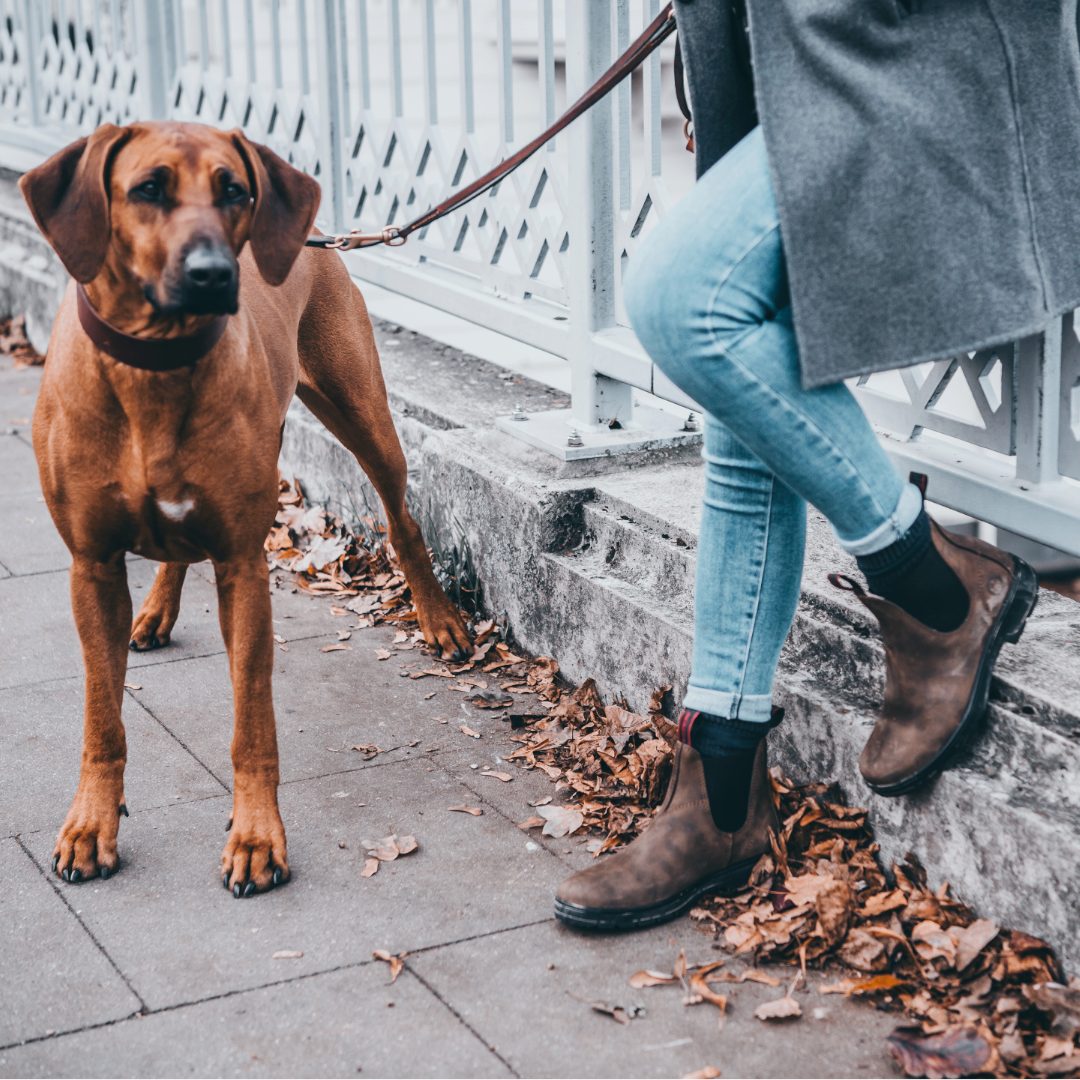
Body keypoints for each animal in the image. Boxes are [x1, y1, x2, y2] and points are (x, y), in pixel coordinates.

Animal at [19, 120, 473, 894]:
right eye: (148, 189)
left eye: (235, 190)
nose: (212, 274)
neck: (158, 366)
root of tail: (319, 239)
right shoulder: (92, 566)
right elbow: (102, 721)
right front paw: (89, 827)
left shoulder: (243, 566)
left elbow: (252, 722)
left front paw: (257, 839)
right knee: (174, 553)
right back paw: (155, 612)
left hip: (361, 412)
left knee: (403, 517)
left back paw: (439, 619)